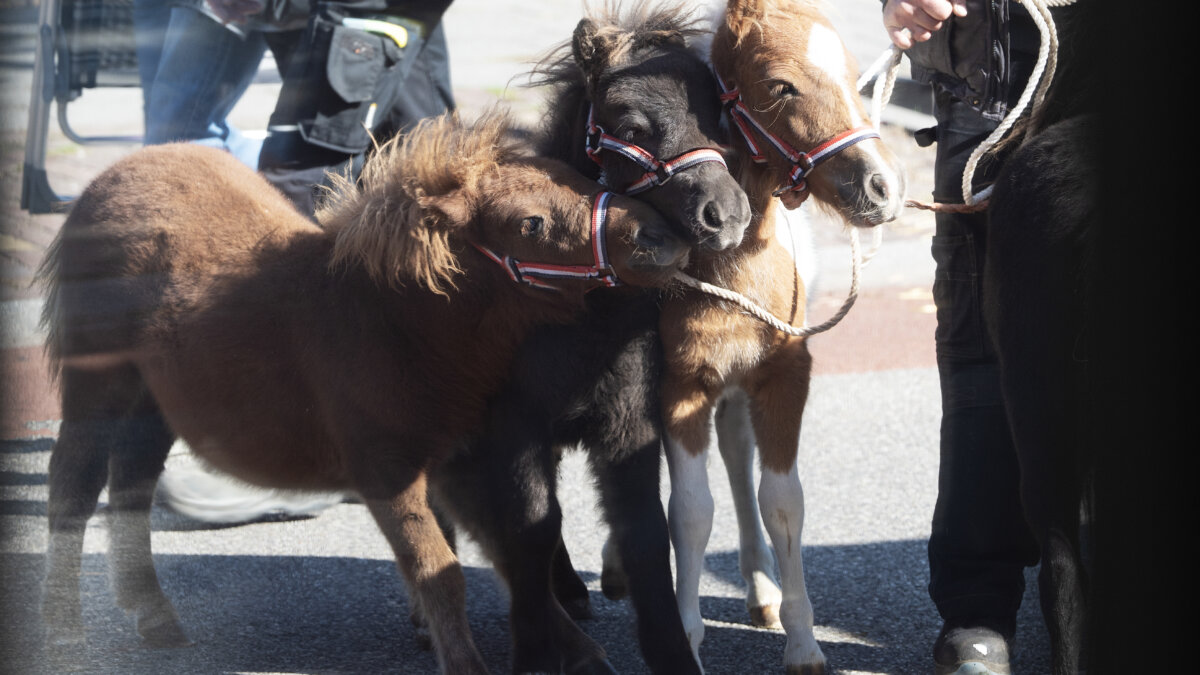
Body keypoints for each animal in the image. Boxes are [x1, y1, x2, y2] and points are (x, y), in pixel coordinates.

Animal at [35, 110, 689, 675]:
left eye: (577, 175)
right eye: (531, 224)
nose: (663, 236)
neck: (396, 324)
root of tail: (116, 171)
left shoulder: (462, 461)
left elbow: (511, 550)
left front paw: (579, 652)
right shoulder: (387, 472)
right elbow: (442, 570)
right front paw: (469, 663)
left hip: (155, 397)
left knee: (132, 484)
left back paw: (151, 613)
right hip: (98, 381)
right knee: (74, 483)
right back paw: (64, 631)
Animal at [419, 4, 751, 674]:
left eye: (720, 117)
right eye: (631, 124)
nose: (726, 217)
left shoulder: (629, 423)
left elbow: (646, 532)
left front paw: (671, 651)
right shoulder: (513, 423)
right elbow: (531, 527)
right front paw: (539, 648)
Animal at [629, 0, 906, 672]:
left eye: (854, 71)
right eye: (781, 86)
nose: (884, 187)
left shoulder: (783, 375)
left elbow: (781, 501)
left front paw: (804, 642)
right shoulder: (681, 382)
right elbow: (690, 511)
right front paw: (684, 635)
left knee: (737, 456)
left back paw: (761, 589)